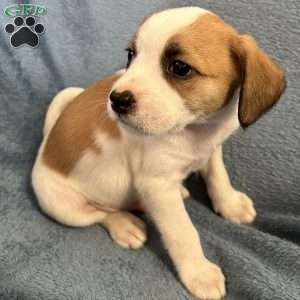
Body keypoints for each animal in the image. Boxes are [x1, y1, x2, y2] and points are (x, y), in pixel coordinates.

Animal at [31, 7, 284, 300]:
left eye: (180, 68)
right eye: (131, 54)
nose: (116, 100)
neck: (195, 131)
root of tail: (45, 145)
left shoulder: (212, 150)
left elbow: (218, 176)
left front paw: (230, 203)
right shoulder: (157, 186)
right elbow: (183, 232)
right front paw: (199, 273)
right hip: (63, 208)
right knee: (100, 214)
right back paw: (125, 225)